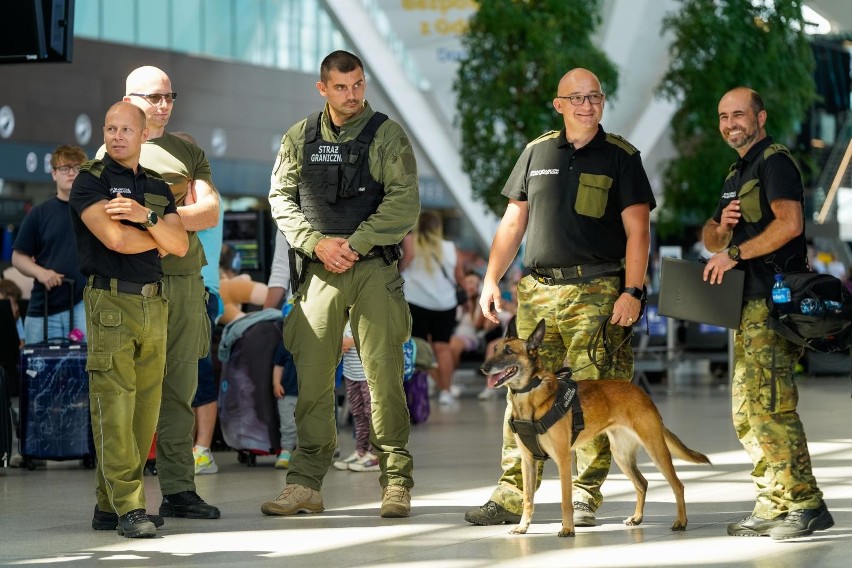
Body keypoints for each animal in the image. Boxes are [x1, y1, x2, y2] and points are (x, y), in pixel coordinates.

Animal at [480, 320, 712, 536]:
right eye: (495, 349)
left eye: (508, 351)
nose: (483, 367)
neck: (530, 395)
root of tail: (641, 392)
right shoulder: (528, 461)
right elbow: (528, 497)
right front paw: (523, 527)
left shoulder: (563, 459)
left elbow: (565, 499)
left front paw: (568, 529)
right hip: (621, 455)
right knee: (642, 483)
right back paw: (637, 518)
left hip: (656, 450)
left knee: (677, 485)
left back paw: (681, 522)